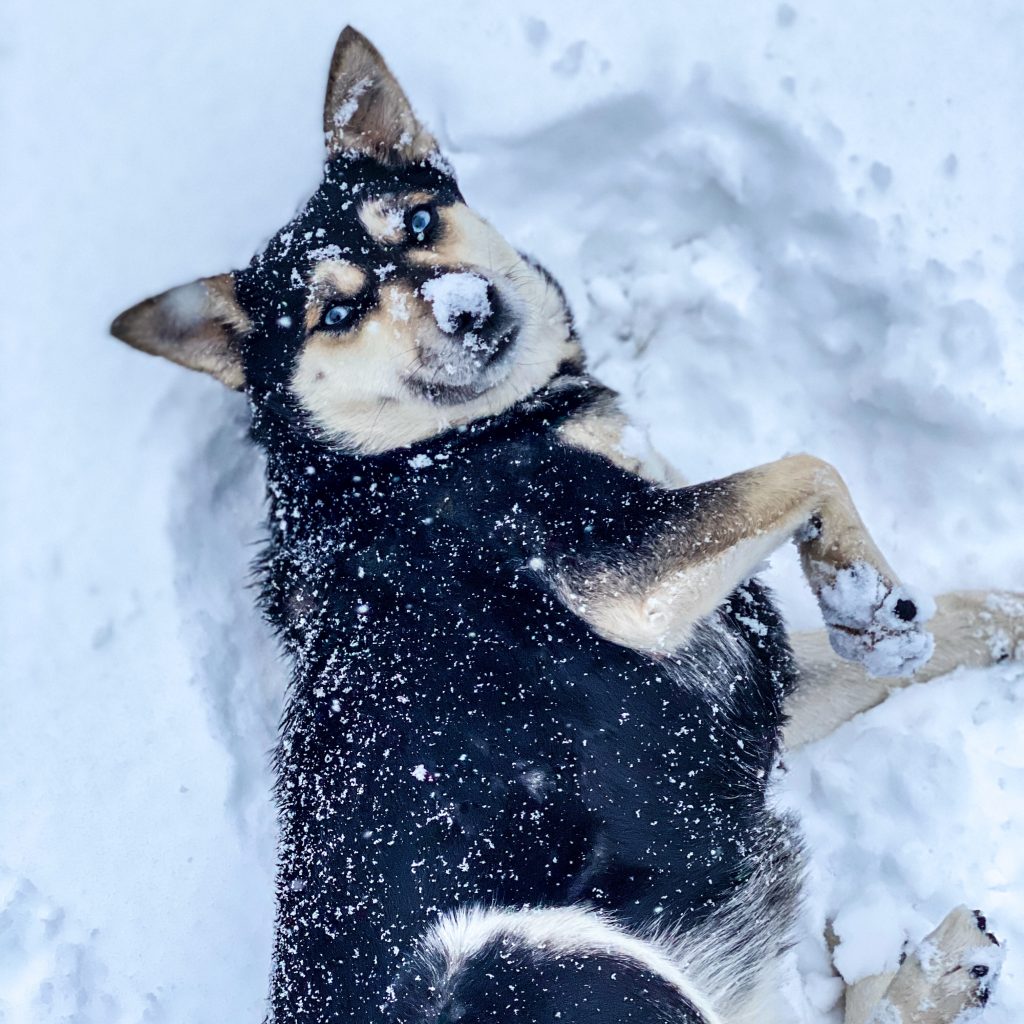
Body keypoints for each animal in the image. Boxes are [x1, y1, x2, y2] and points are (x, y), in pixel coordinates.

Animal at [108, 25, 1019, 1024]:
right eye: (338, 313)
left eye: (417, 225)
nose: (466, 306)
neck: (417, 453)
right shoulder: (616, 572)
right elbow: (812, 466)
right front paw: (866, 594)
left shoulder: (750, 673)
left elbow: (933, 631)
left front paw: (981, 622)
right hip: (542, 954)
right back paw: (931, 970)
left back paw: (937, 969)